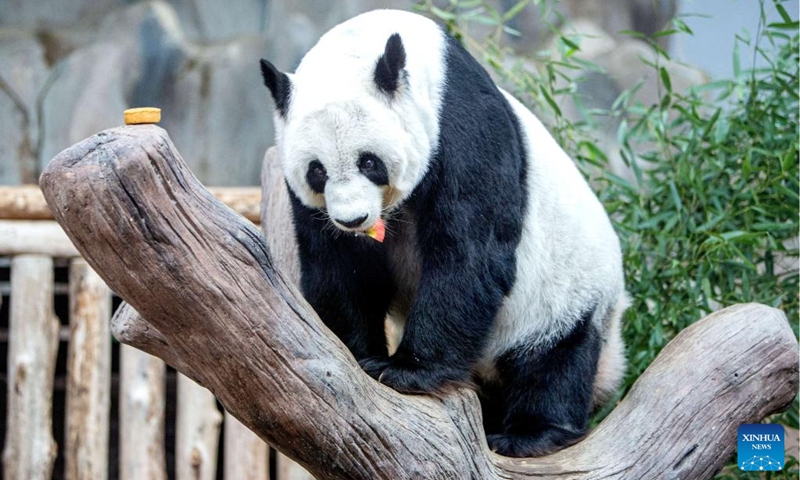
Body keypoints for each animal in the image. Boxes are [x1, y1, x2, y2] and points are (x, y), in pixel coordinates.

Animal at [259, 9, 627, 458]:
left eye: (369, 162)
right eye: (317, 171)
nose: (353, 219)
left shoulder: (464, 131)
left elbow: (467, 254)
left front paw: (405, 370)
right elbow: (340, 265)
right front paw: (354, 352)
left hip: (570, 291)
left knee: (555, 360)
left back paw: (530, 433)